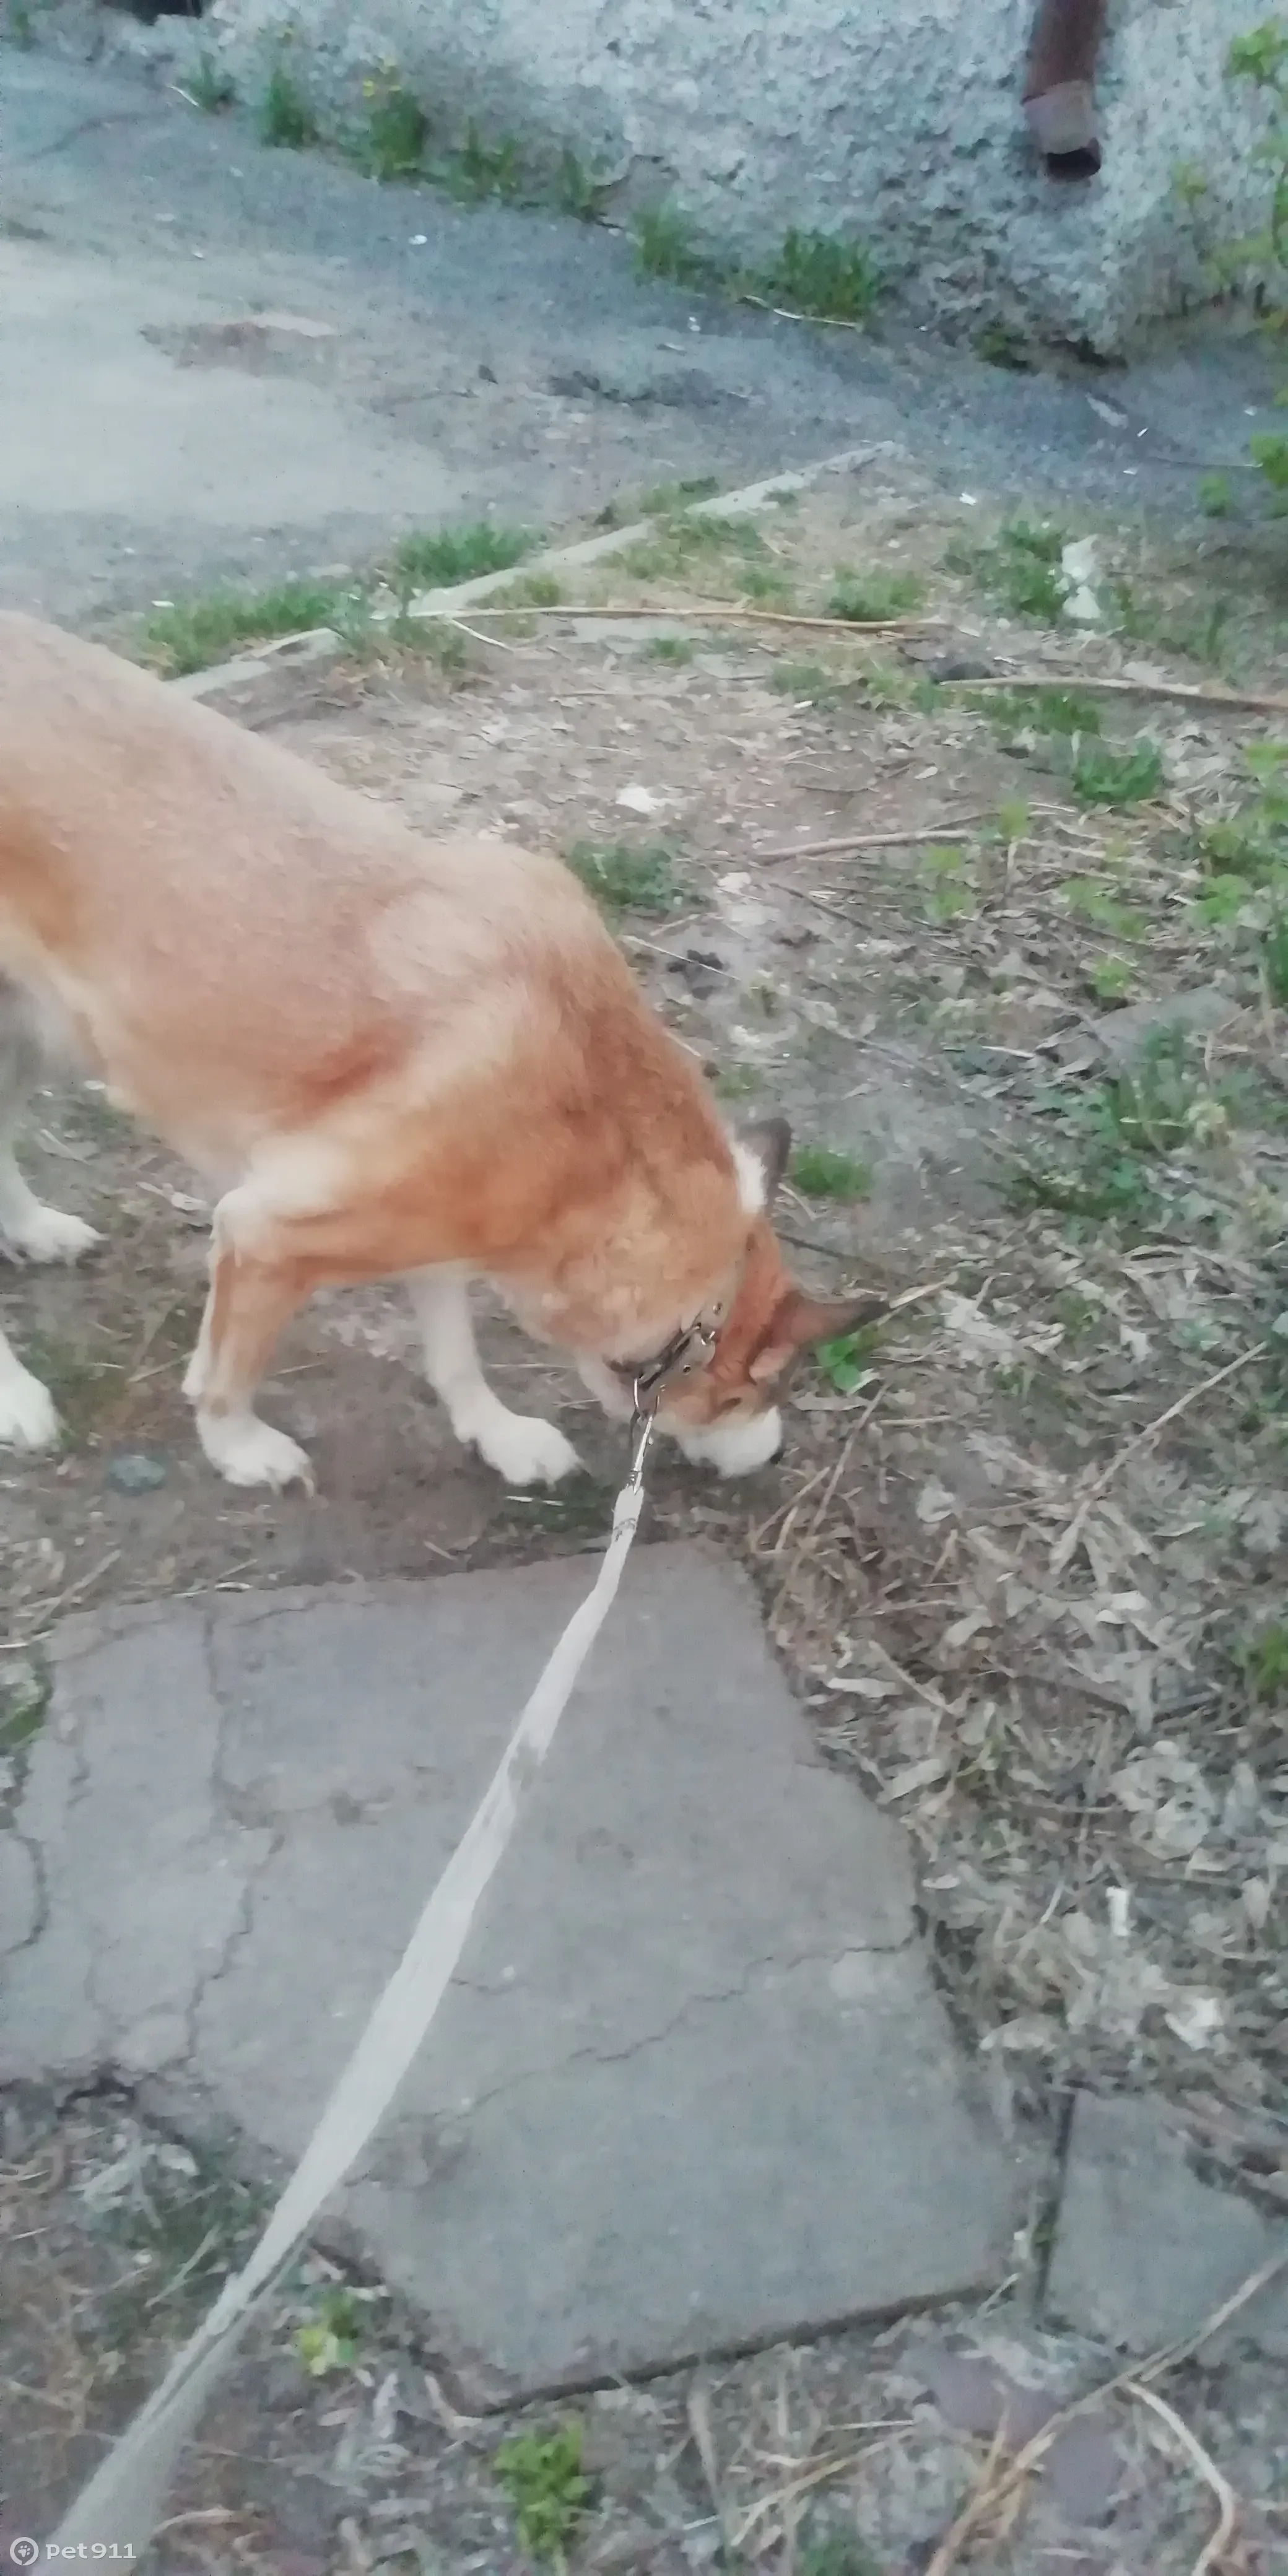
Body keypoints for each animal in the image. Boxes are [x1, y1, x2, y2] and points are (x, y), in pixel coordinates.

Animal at [0, 613, 872, 1489]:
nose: (774, 1451)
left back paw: (32, 1229)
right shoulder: (264, 1239)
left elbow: (455, 1355)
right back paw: (15, 1396)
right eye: (751, 1396)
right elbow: (227, 1377)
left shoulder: (433, 1238)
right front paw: (238, 1448)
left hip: (42, 1041)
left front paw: (496, 1432)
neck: (595, 1133)